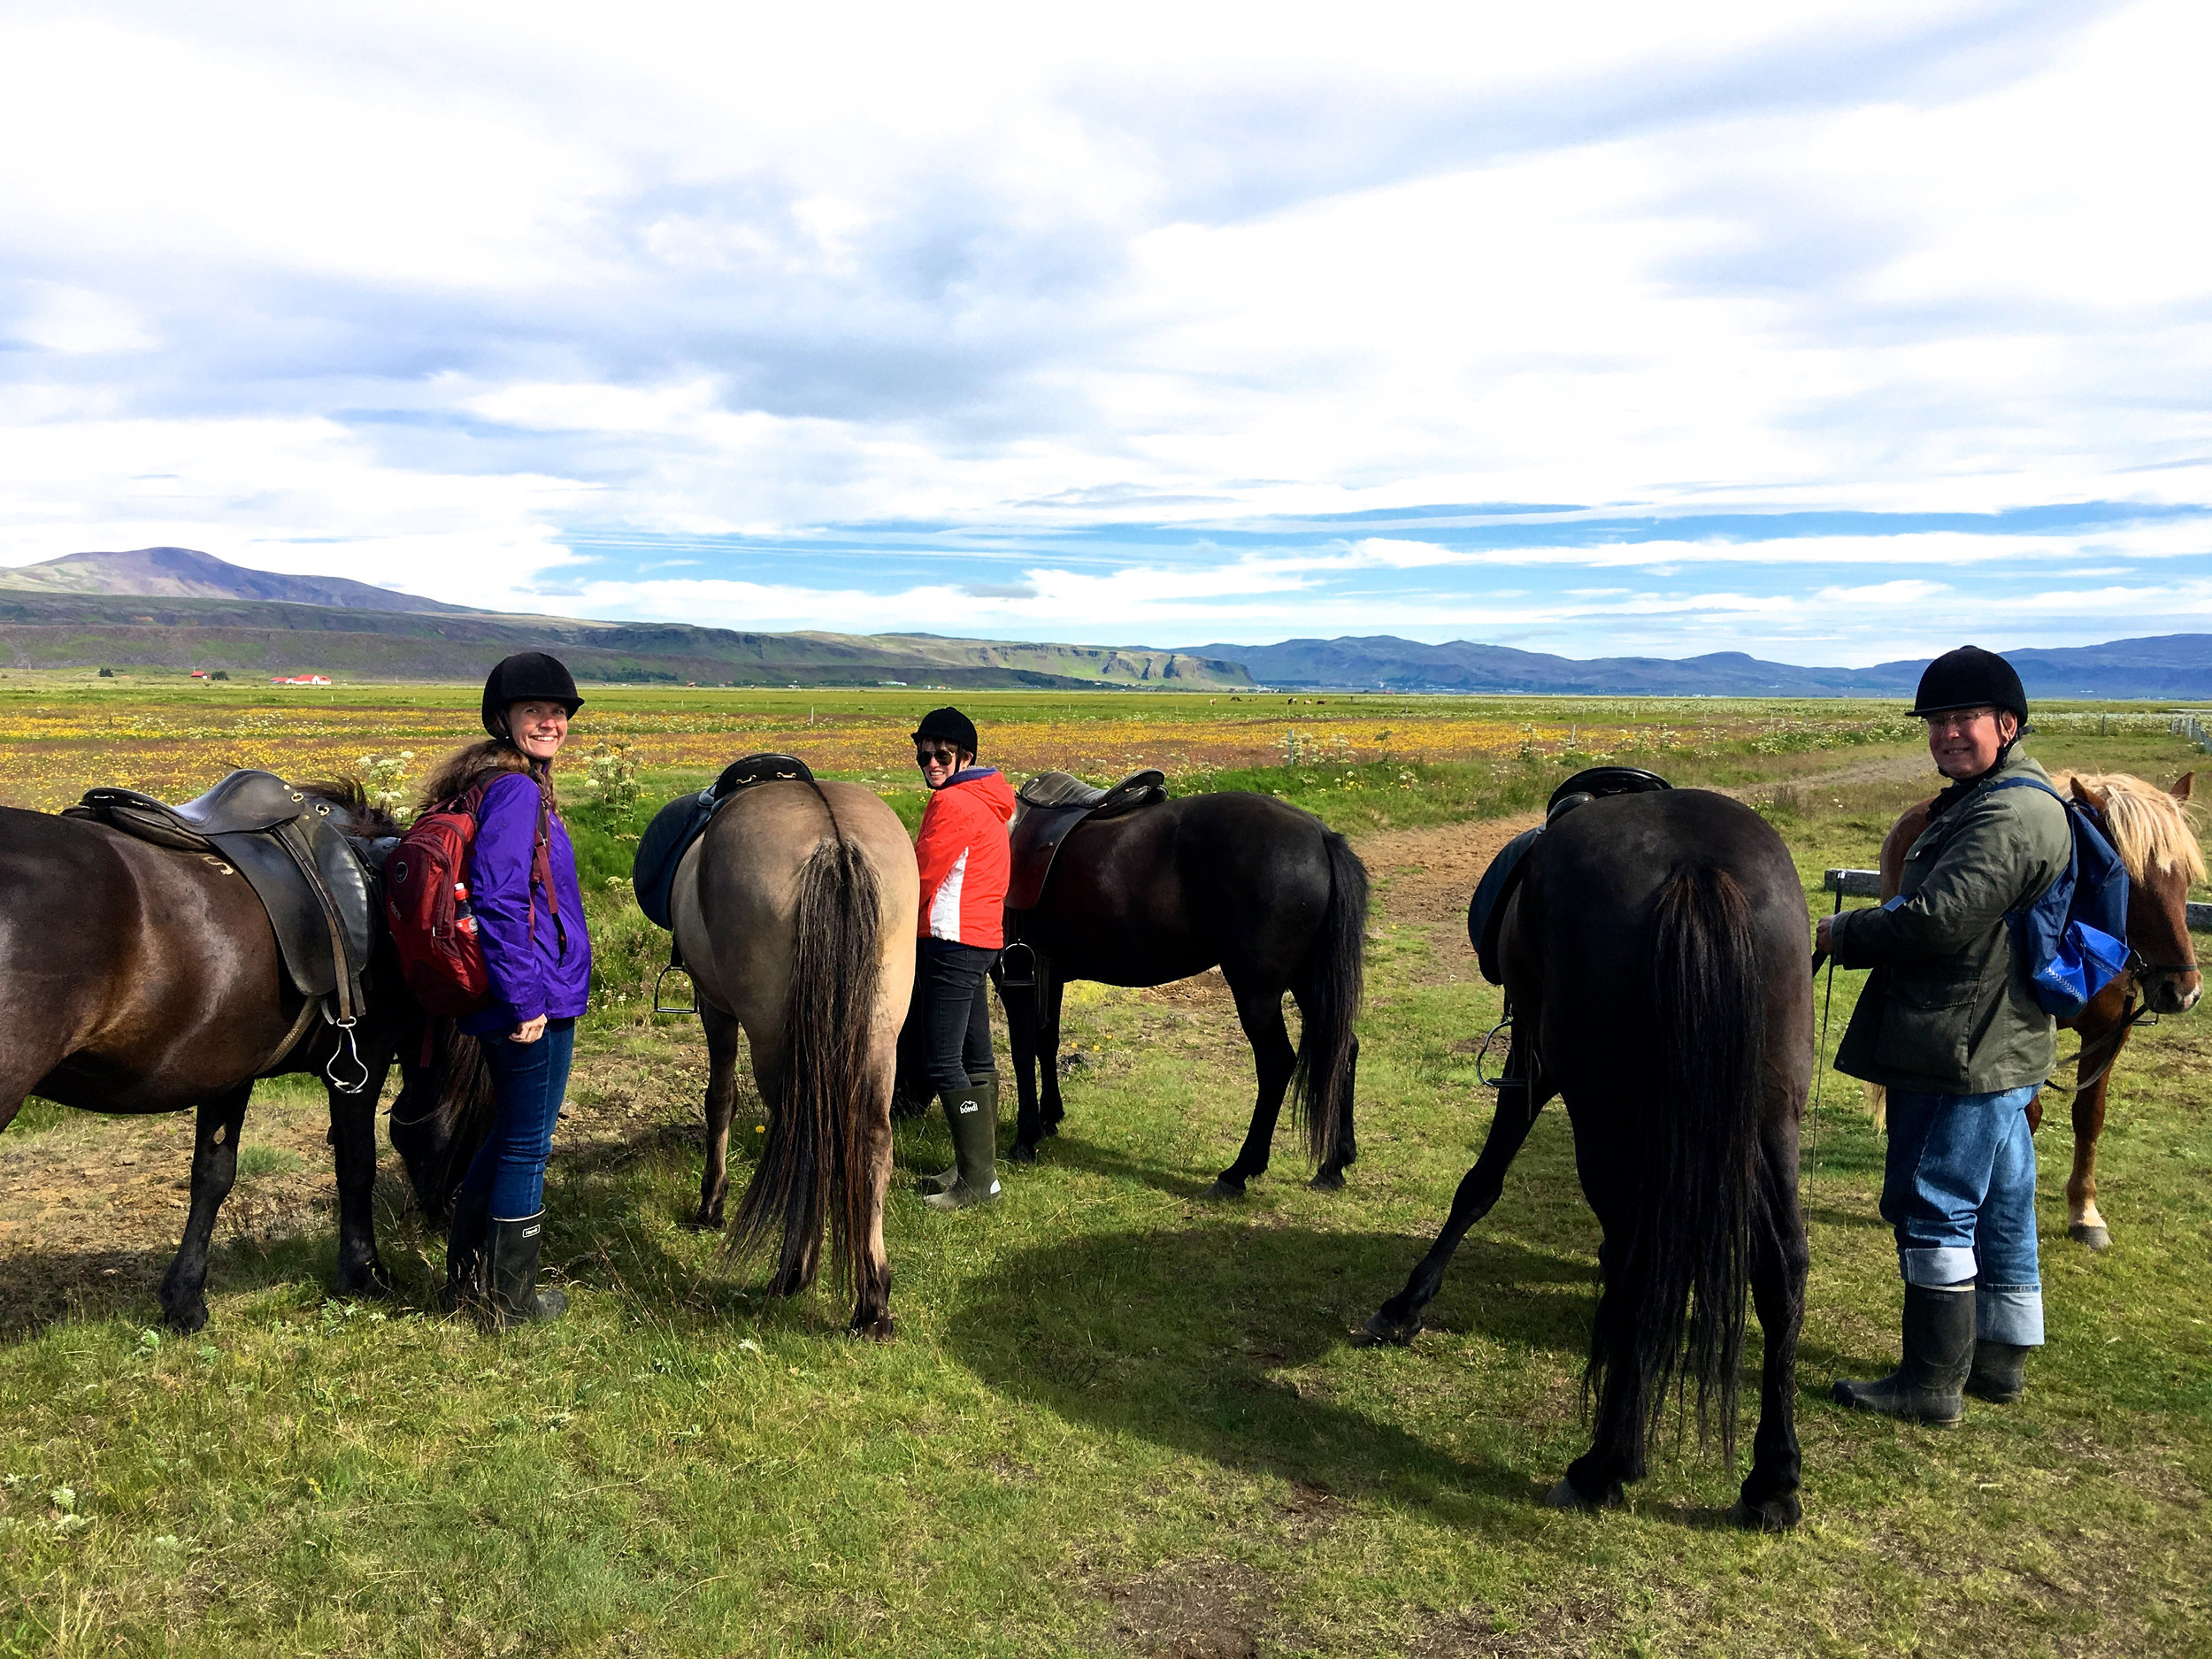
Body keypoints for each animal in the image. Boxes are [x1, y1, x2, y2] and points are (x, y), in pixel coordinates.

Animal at [668, 779, 920, 1336]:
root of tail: (835, 842)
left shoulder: (715, 1007)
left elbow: (719, 1099)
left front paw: (710, 1204)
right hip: (880, 1038)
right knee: (873, 1144)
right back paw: (872, 1298)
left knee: (803, 1138)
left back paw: (793, 1273)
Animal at [991, 792, 1363, 1194]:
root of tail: (1320, 836)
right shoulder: (1049, 974)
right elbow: (1047, 1043)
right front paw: (1049, 1118)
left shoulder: (1015, 976)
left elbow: (1023, 1051)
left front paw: (1025, 1139)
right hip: (1308, 983)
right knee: (1343, 1047)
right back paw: (1333, 1164)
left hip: (1257, 993)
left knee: (1276, 1063)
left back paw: (1238, 1172)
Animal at [1363, 792, 1814, 1531]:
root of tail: (1695, 866)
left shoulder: (1534, 1058)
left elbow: (1481, 1181)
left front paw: (1404, 1305)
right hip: (1772, 1115)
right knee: (1781, 1268)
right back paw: (1772, 1479)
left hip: (1606, 1115)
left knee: (1640, 1260)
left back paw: (1604, 1465)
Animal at [1876, 774, 2203, 1256]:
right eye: (2128, 879)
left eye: (2186, 877)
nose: (2183, 991)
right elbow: (2024, 1117)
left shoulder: (2108, 1034)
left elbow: (2089, 1116)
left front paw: (2085, 1212)